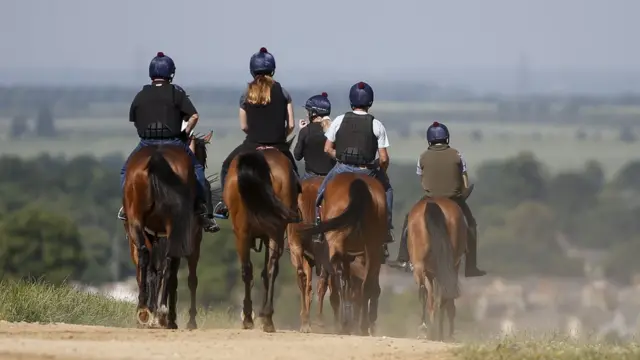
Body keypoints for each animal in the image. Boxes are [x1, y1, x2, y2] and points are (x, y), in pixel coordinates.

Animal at [124, 130, 214, 330]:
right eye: (203, 157)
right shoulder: (193, 242)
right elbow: (187, 279)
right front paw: (181, 318)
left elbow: (154, 273)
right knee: (168, 267)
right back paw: (162, 314)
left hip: (137, 226)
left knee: (146, 263)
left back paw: (145, 310)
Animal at [225, 142, 300, 334]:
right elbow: (266, 272)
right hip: (273, 232)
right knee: (269, 268)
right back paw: (265, 317)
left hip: (245, 233)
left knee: (249, 270)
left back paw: (251, 317)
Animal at [408, 197, 468, 340]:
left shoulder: (428, 273)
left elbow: (430, 299)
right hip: (449, 267)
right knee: (444, 297)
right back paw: (442, 333)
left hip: (420, 266)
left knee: (425, 293)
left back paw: (425, 328)